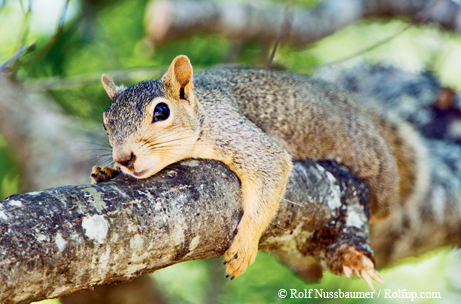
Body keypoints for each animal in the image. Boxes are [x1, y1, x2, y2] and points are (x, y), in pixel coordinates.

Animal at [90, 55, 428, 286]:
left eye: (161, 111)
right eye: (106, 122)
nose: (124, 158)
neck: (202, 113)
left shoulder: (238, 136)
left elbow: (271, 166)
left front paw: (244, 246)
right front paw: (107, 171)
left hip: (373, 165)